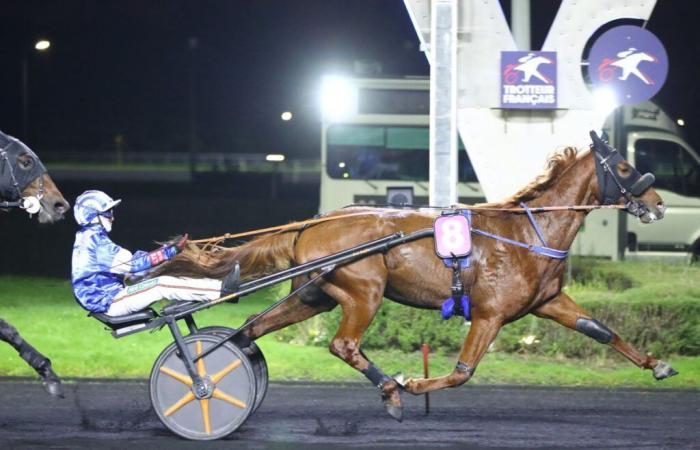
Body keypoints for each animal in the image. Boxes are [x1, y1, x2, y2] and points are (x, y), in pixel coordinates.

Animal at [160, 135, 680, 420]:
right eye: (626, 166)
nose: (658, 203)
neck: (528, 232)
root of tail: (312, 223)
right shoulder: (490, 313)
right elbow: (462, 372)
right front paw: (410, 384)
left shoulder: (547, 301)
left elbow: (601, 329)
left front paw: (658, 364)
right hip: (364, 291)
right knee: (342, 345)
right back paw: (389, 389)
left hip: (315, 296)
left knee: (250, 331)